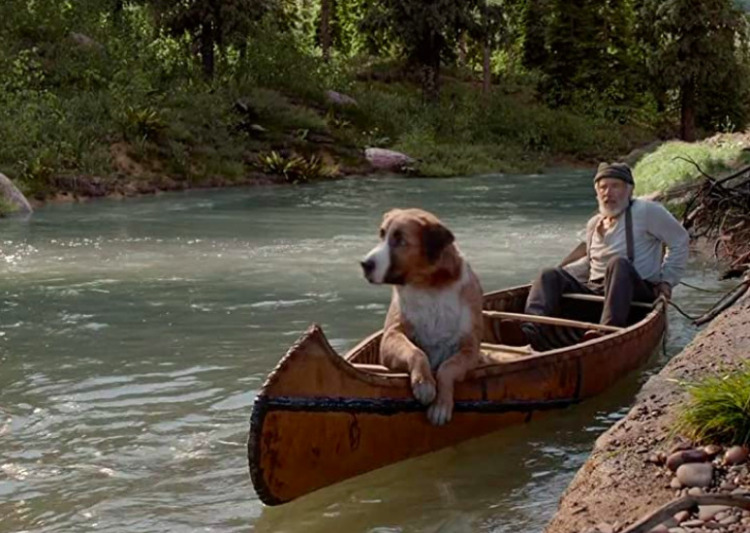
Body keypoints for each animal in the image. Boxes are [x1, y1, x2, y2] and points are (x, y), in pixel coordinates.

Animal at [362, 208, 484, 424]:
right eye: (382, 234)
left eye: (400, 240)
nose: (364, 264)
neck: (429, 287)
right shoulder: (391, 336)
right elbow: (416, 352)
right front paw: (424, 383)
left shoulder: (470, 348)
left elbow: (448, 366)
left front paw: (441, 406)